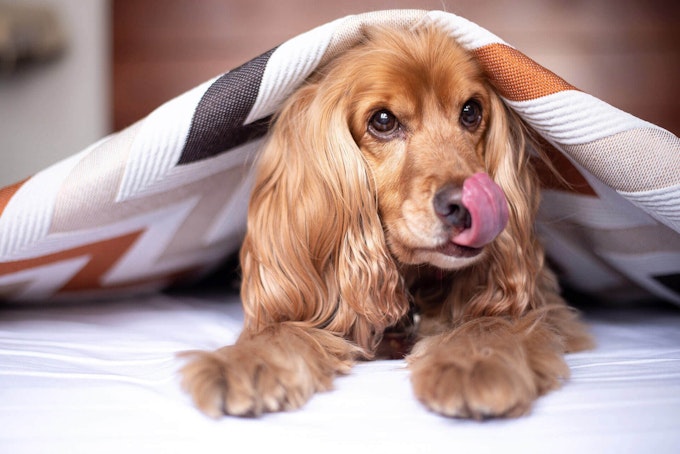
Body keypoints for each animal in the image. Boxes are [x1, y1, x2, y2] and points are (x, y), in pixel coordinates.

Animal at [182, 24, 596, 418]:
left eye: (471, 111)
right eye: (383, 120)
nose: (464, 206)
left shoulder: (548, 309)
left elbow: (494, 320)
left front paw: (474, 362)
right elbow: (282, 328)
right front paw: (243, 361)